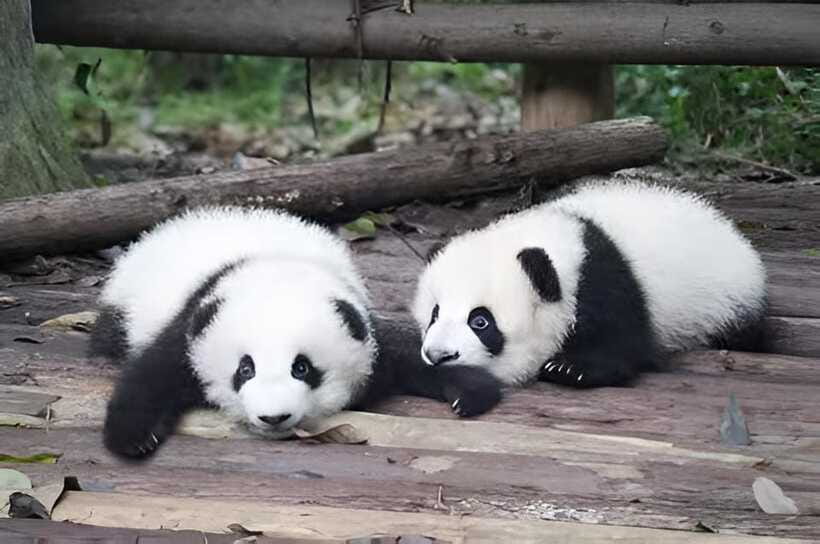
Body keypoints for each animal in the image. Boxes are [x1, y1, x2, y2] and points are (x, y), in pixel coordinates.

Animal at [92, 207, 500, 459]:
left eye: (302, 368)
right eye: (245, 369)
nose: (274, 418)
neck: (277, 268)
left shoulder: (361, 327)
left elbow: (409, 354)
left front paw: (470, 391)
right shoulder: (195, 322)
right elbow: (153, 373)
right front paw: (134, 438)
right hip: (125, 304)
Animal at [413, 181, 767, 410]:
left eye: (481, 321)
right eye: (434, 314)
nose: (438, 356)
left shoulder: (604, 281)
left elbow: (623, 343)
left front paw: (570, 368)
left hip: (726, 303)